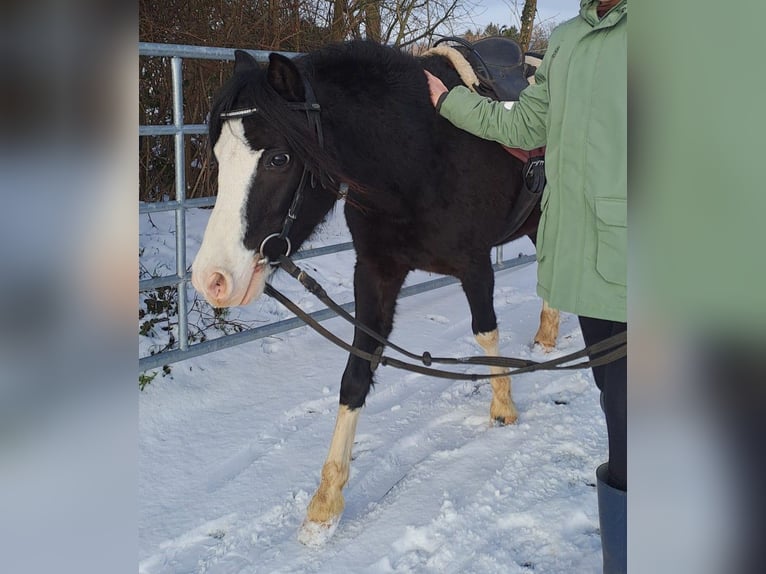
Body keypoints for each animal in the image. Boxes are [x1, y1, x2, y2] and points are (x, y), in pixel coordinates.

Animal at [191, 40, 559, 545]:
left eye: (278, 159)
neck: (420, 155)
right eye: (220, 156)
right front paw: (325, 505)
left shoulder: (475, 265)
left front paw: (503, 407)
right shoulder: (375, 273)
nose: (213, 279)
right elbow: (357, 372)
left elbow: (485, 332)